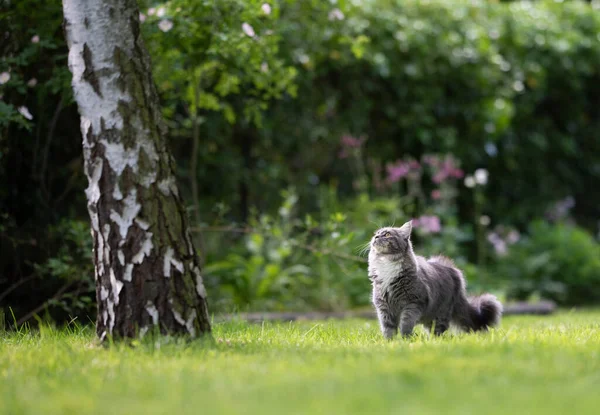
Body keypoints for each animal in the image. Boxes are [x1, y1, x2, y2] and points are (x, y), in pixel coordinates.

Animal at [370, 223, 502, 340]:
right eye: (376, 233)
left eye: (387, 234)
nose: (376, 237)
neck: (386, 264)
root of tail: (456, 274)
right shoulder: (383, 307)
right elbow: (388, 329)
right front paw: (390, 342)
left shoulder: (412, 304)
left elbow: (405, 325)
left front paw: (405, 339)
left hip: (441, 313)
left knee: (438, 331)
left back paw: (433, 341)